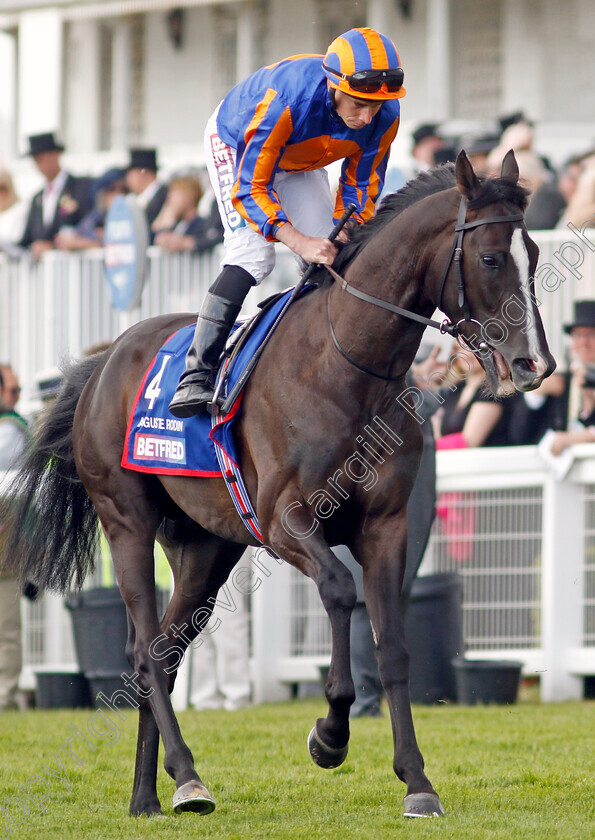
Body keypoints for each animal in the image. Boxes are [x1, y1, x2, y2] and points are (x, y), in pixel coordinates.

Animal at [2, 153, 556, 820]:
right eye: (492, 258)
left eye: (534, 251)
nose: (535, 364)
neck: (346, 365)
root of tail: (102, 362)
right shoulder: (285, 519)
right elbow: (340, 591)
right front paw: (330, 734)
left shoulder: (388, 525)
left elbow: (394, 644)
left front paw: (417, 781)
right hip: (126, 518)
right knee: (143, 651)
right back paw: (187, 777)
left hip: (205, 547)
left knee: (164, 650)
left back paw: (147, 796)